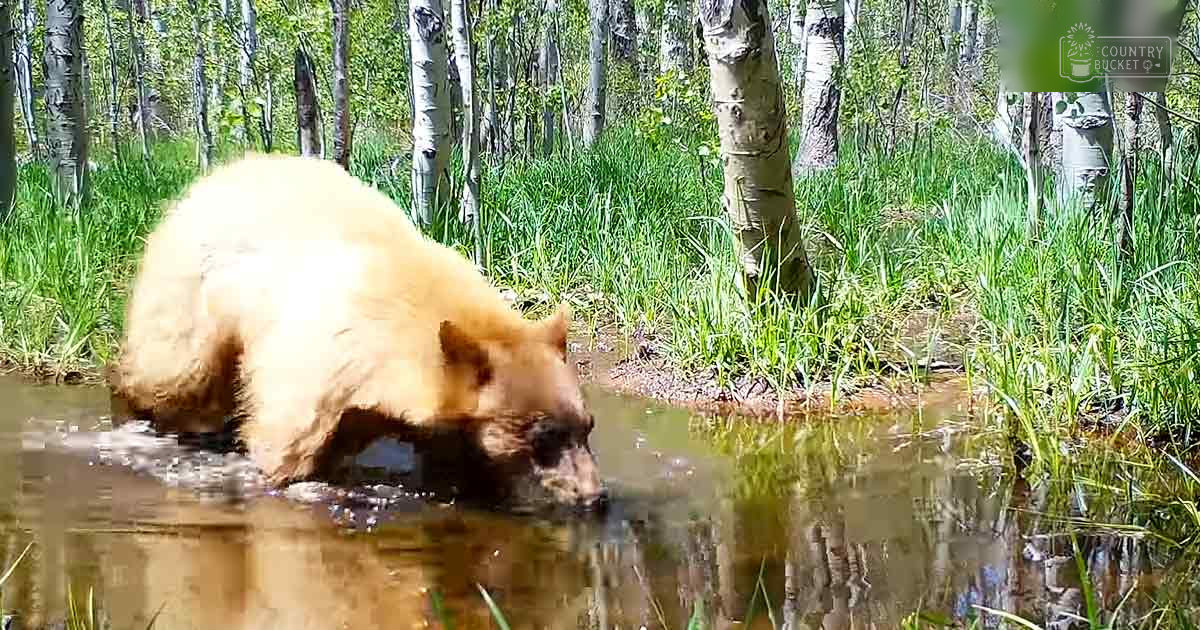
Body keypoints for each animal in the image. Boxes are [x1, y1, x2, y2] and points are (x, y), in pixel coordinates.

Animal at [109, 152, 606, 509]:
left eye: (588, 426)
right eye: (544, 437)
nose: (597, 497)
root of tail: (210, 180)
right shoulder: (316, 364)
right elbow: (284, 444)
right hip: (191, 297)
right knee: (173, 373)